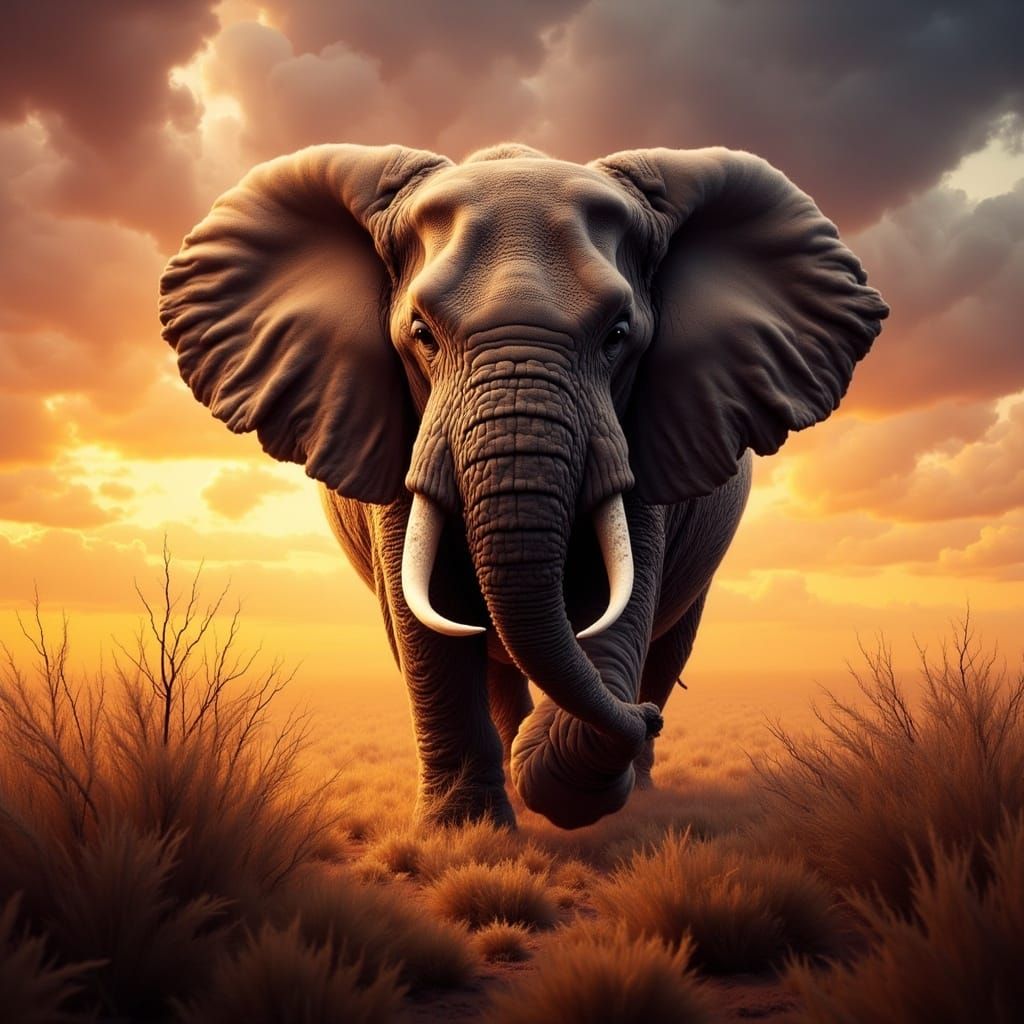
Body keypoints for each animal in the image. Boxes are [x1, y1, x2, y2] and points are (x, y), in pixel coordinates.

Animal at [159, 142, 887, 830]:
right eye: (422, 335)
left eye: (618, 335)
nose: (647, 715)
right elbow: (427, 617)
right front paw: (466, 832)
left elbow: (622, 599)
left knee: (666, 638)